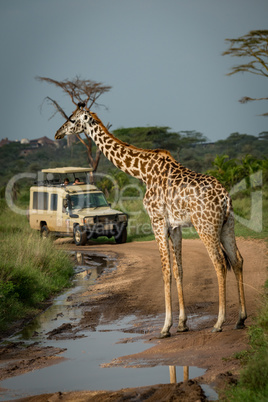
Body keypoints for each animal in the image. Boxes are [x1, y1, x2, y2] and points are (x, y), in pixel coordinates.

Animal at [54, 105, 247, 338]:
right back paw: (240, 319)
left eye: (72, 119)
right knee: (237, 260)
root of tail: (225, 198)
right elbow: (179, 270)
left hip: (206, 225)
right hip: (228, 225)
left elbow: (165, 271)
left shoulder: (157, 220)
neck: (143, 171)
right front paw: (182, 324)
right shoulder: (175, 226)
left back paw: (219, 323)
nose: (58, 134)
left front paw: (165, 327)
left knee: (219, 263)